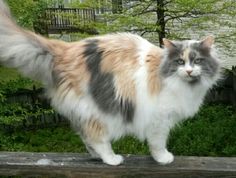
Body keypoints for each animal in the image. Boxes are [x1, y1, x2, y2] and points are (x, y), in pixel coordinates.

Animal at [0, 0, 221, 166]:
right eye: (180, 62)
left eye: (197, 61)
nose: (189, 71)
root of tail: (66, 49)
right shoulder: (158, 118)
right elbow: (157, 142)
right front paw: (163, 158)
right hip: (99, 111)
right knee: (96, 137)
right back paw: (111, 159)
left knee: (85, 136)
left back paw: (97, 156)